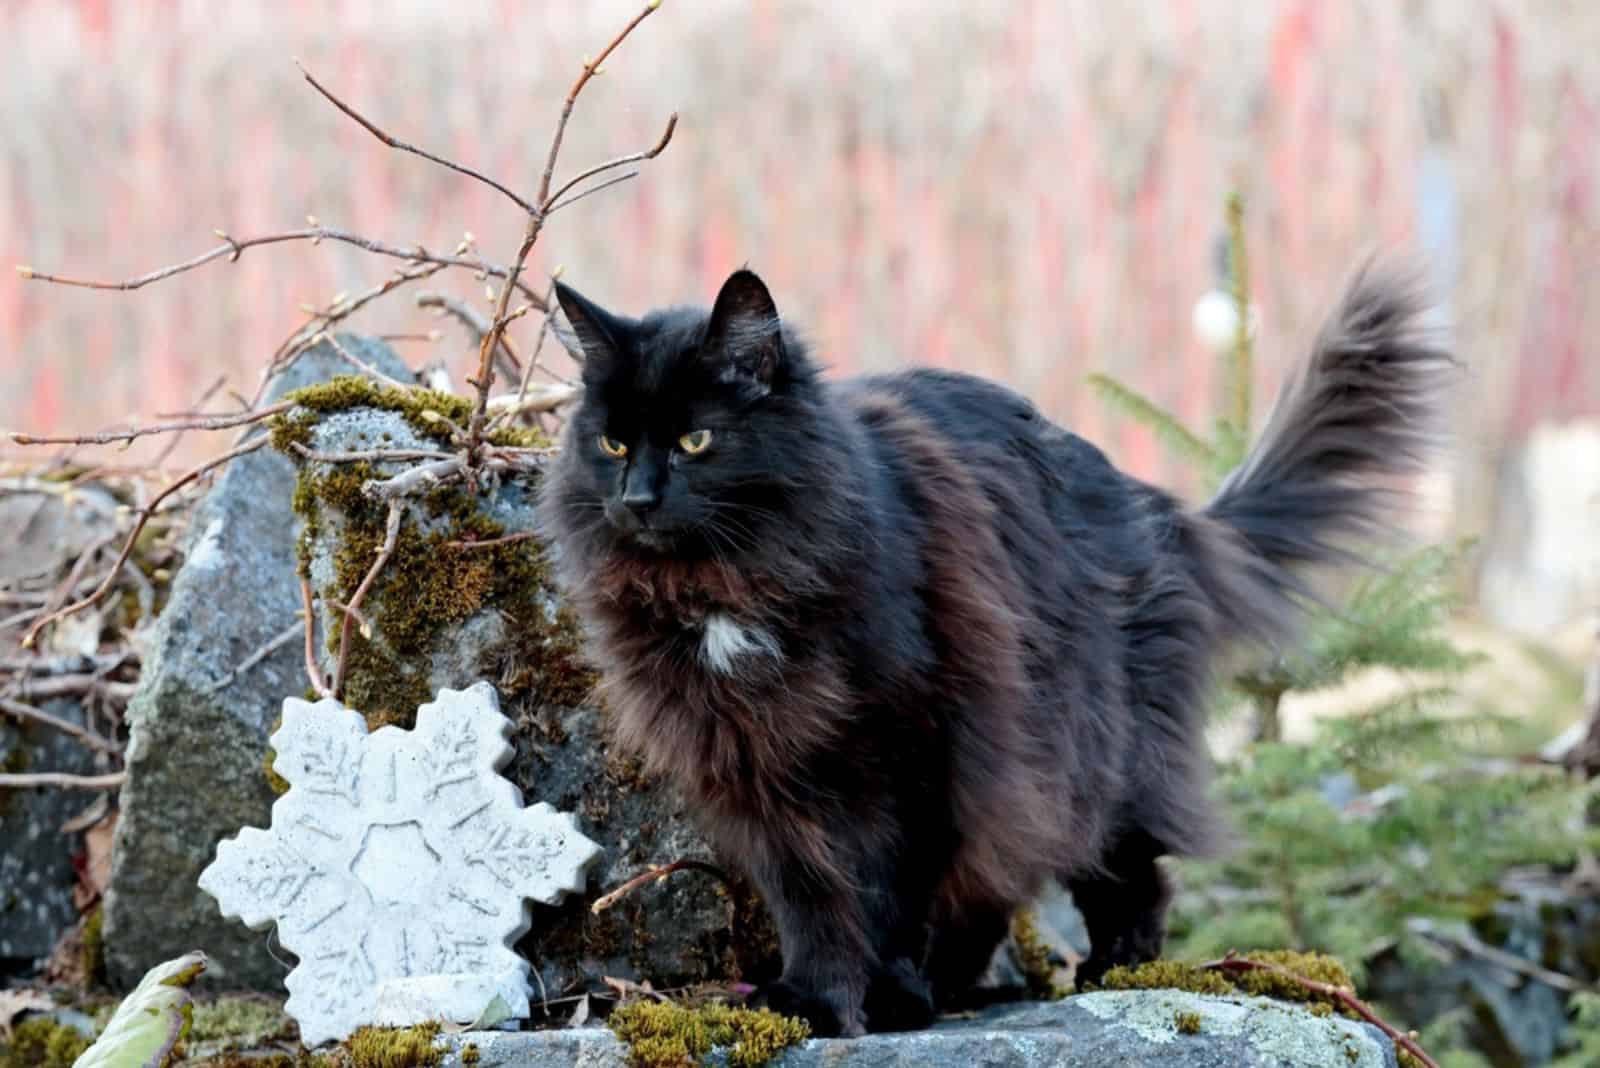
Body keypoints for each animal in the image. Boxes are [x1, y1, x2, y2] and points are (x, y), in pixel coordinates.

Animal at [537, 265, 1452, 1036]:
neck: (726, 589)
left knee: (1127, 872)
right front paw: (813, 1001)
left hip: (1086, 751)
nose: (637, 499)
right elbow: (812, 900)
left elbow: (887, 895)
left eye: (695, 441)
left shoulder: (913, 751)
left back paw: (1109, 971)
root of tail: (1155, 507)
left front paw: (883, 999)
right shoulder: (761, 772)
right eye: (613, 444)